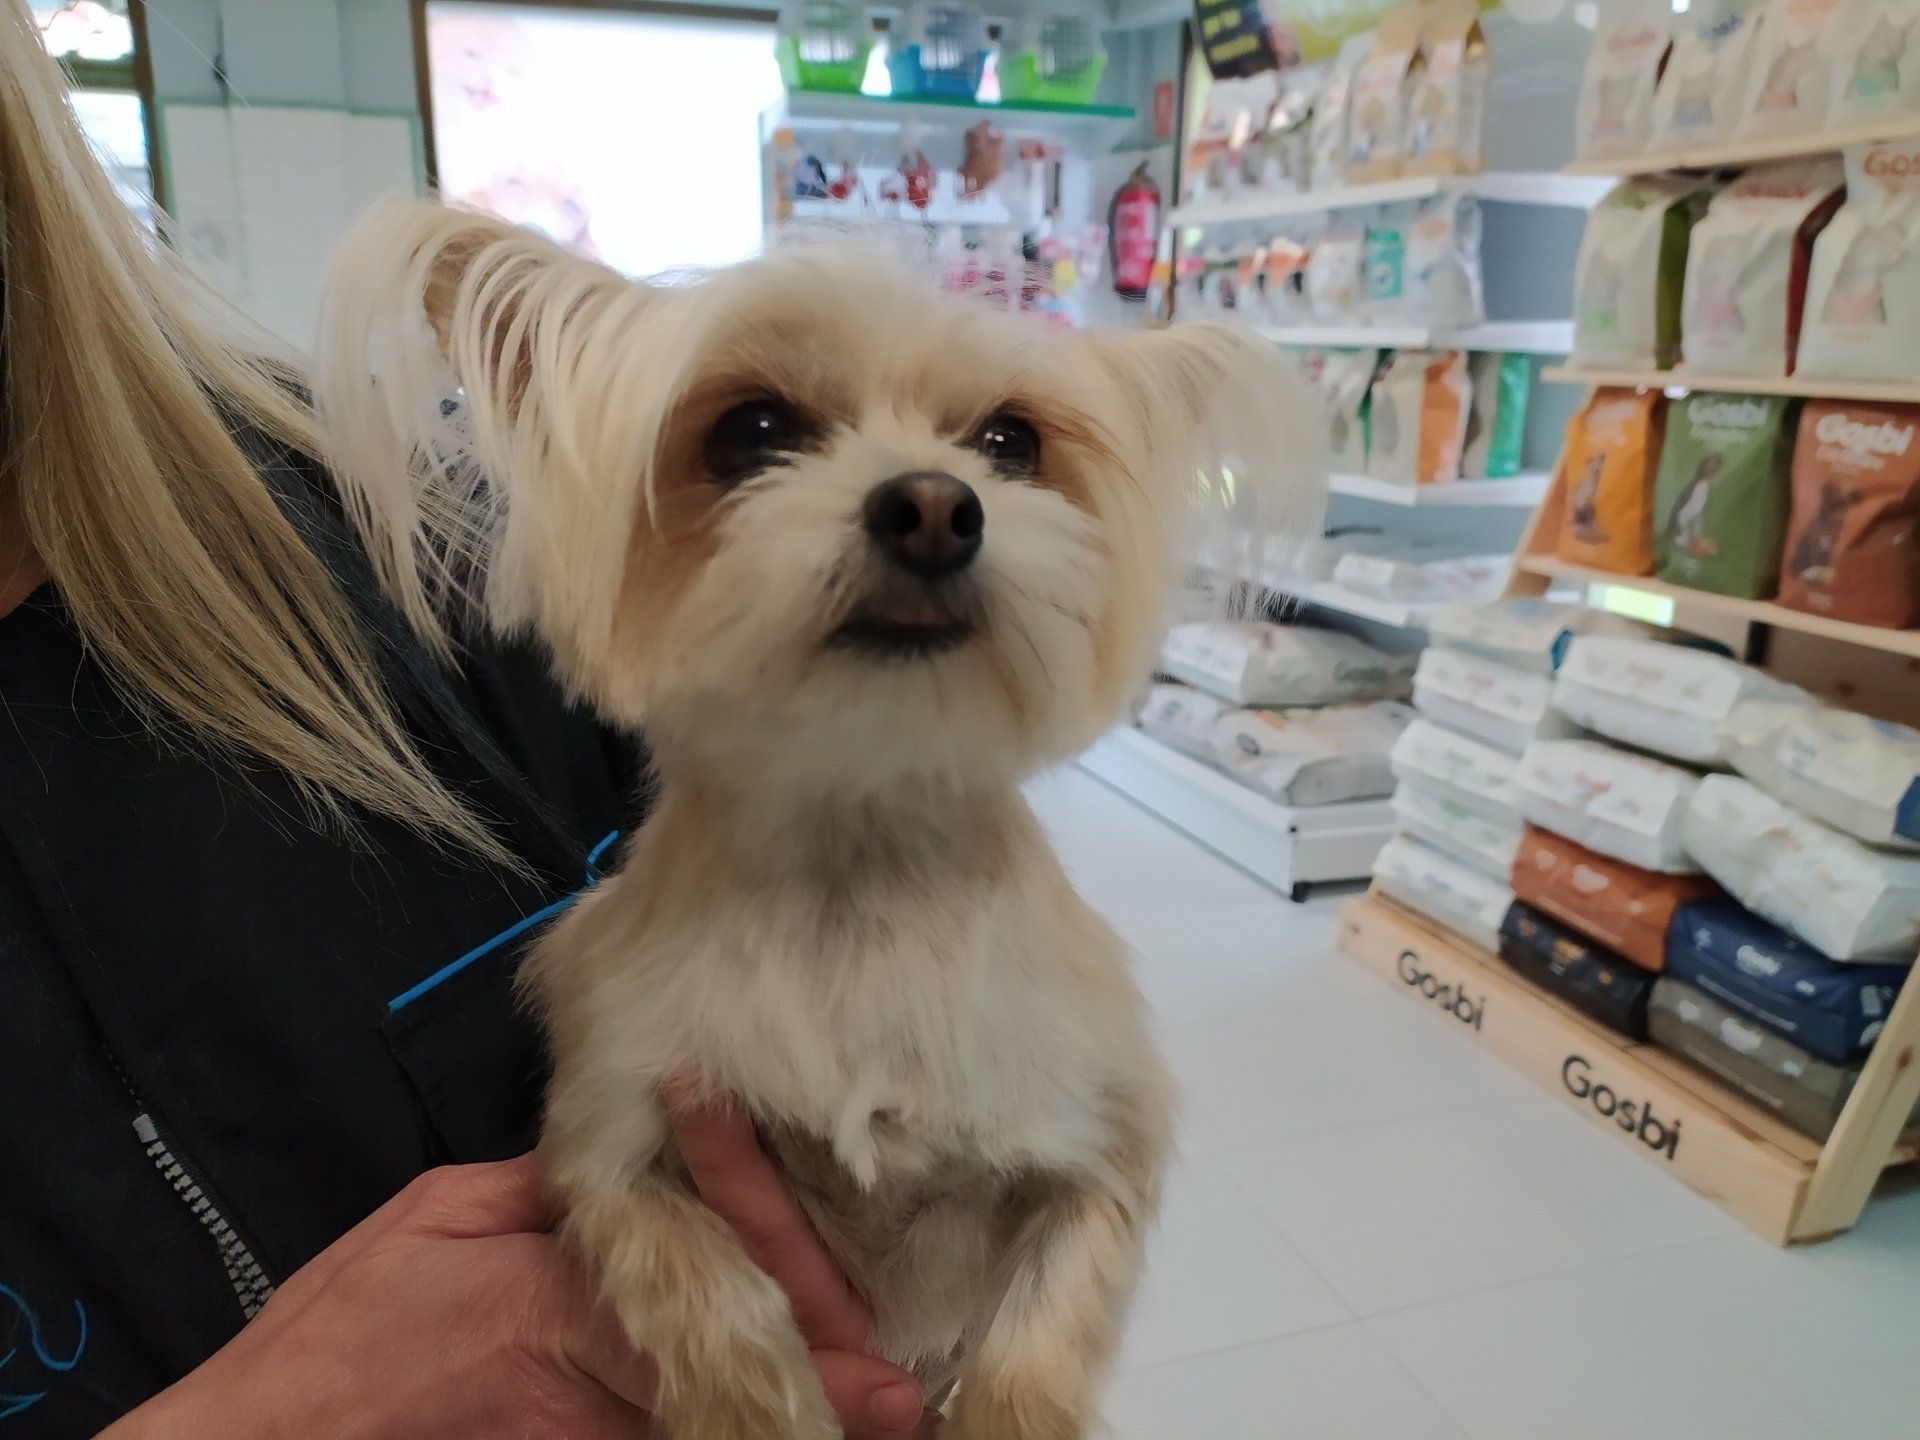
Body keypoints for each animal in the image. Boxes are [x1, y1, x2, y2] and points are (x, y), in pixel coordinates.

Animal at [315, 200, 1324, 1440]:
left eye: (1012, 444)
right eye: (750, 431)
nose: (936, 506)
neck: (862, 856)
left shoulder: (1097, 1147)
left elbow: (1033, 1352)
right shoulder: (617, 1137)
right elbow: (717, 1309)